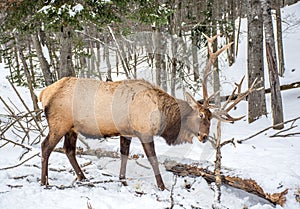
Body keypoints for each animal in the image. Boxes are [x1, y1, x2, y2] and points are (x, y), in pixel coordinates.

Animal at [38, 33, 234, 190]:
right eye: (200, 115)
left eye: (211, 118)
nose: (204, 136)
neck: (164, 117)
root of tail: (44, 93)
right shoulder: (144, 132)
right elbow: (153, 159)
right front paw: (162, 186)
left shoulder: (126, 132)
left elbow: (124, 155)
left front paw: (122, 180)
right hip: (59, 123)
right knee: (46, 146)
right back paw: (45, 181)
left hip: (72, 127)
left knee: (69, 149)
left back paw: (83, 177)